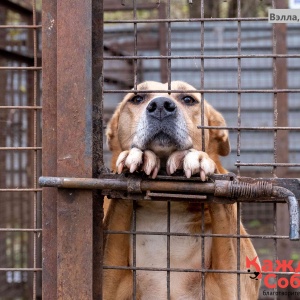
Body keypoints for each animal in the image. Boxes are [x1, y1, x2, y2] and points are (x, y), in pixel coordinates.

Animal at [102, 81, 258, 298]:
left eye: (188, 99)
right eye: (137, 98)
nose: (160, 105)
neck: (165, 206)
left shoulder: (233, 287)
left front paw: (192, 158)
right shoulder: (108, 284)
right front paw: (140, 155)